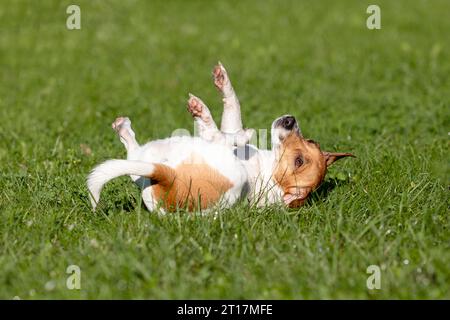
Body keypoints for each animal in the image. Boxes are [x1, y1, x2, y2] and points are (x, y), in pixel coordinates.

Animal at [88, 62, 354, 212]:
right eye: (311, 142)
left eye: (299, 162)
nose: (291, 120)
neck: (269, 171)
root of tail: (168, 178)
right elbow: (233, 105)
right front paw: (223, 81)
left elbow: (229, 123)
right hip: (145, 163)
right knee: (134, 152)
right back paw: (124, 127)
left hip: (225, 168)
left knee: (219, 136)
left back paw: (206, 116)